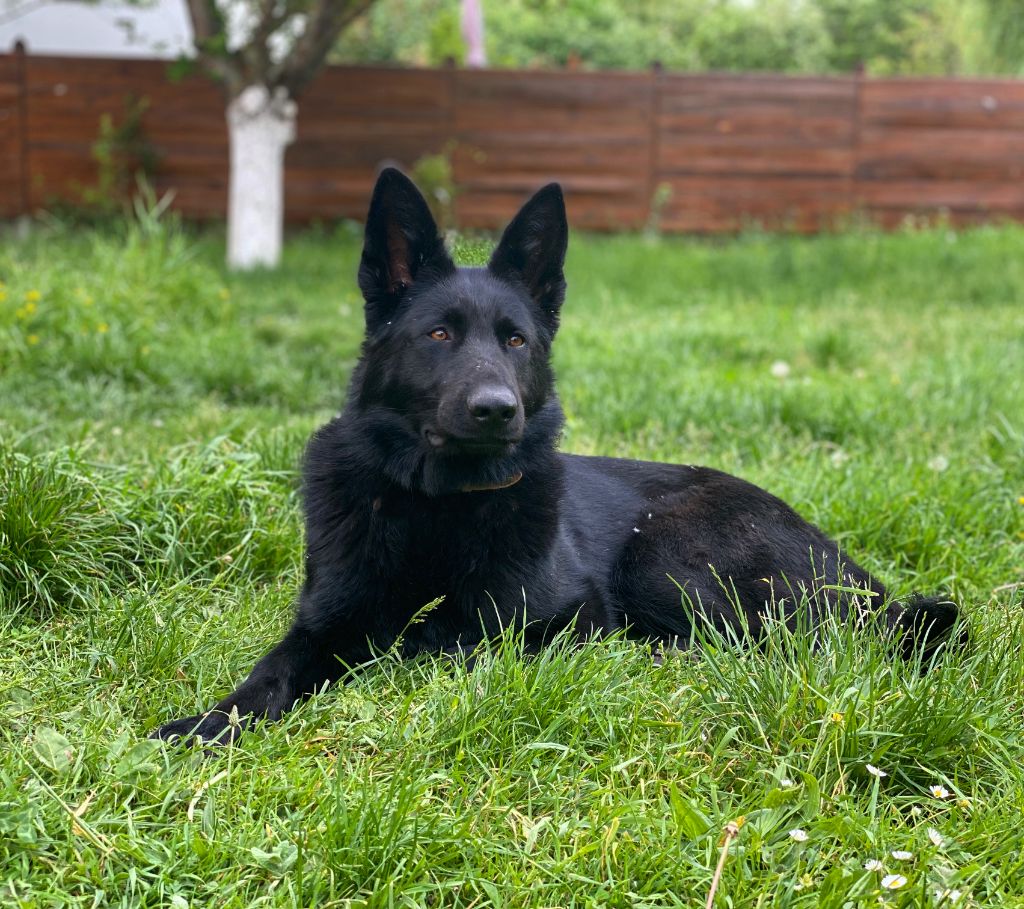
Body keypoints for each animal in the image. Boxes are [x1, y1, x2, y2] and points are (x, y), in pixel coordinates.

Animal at [154, 168, 960, 744]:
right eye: (438, 335)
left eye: (515, 340)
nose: (496, 409)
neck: (437, 506)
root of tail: (858, 576)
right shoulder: (325, 619)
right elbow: (275, 669)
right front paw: (207, 724)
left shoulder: (557, 619)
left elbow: (436, 640)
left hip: (666, 552)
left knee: (776, 645)